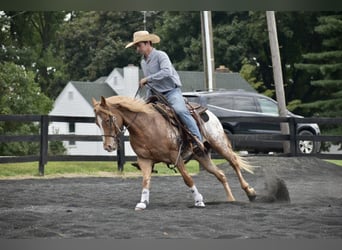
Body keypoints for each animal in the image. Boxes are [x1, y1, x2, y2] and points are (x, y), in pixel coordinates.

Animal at [92, 95, 255, 211]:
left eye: (108, 119)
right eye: (96, 122)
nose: (108, 146)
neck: (147, 126)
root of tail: (209, 112)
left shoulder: (175, 156)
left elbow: (188, 179)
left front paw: (199, 200)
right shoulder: (144, 159)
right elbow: (146, 181)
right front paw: (143, 202)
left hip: (219, 144)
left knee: (234, 162)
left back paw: (250, 192)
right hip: (201, 156)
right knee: (220, 174)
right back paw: (231, 199)